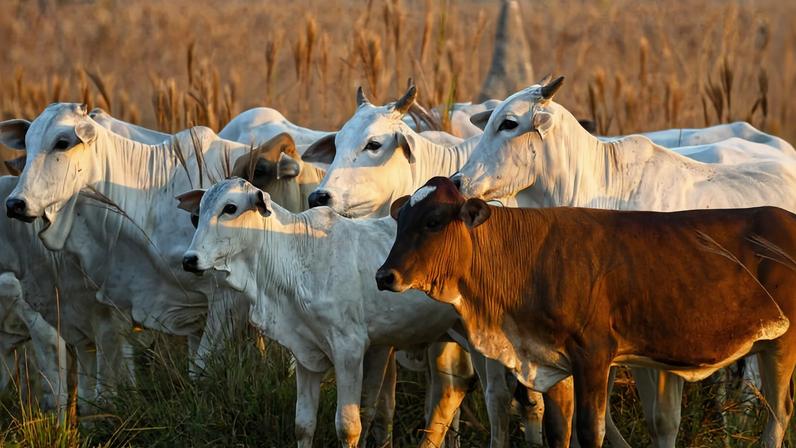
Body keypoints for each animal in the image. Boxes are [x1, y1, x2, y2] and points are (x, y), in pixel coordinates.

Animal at [179, 177, 470, 448]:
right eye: (198, 213)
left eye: (230, 208)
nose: (189, 260)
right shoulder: (304, 352)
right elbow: (303, 425)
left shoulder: (349, 350)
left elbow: (348, 427)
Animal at [377, 176, 796, 447]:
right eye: (400, 221)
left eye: (433, 222)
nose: (384, 275)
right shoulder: (550, 360)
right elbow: (558, 431)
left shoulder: (593, 355)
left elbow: (589, 430)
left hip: (782, 344)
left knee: (779, 414)